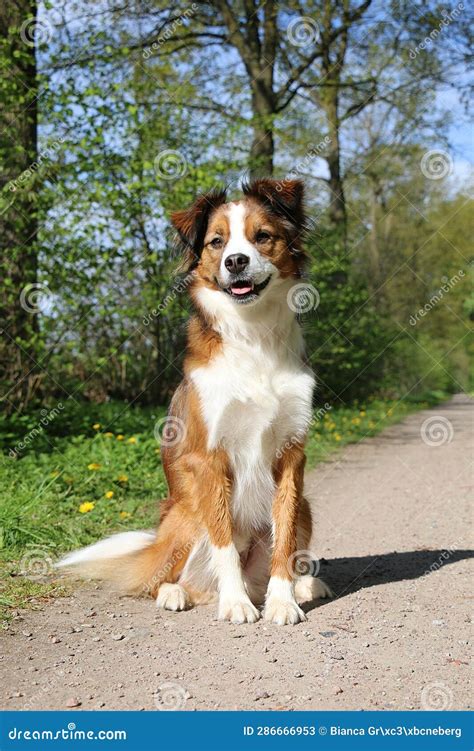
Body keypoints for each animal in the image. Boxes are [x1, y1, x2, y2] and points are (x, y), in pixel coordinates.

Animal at [57, 179, 332, 624]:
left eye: (262, 236)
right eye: (216, 242)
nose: (236, 262)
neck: (252, 337)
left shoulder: (291, 455)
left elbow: (285, 539)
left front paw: (282, 601)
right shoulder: (209, 458)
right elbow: (223, 543)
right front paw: (235, 603)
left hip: (306, 504)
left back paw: (303, 584)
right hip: (184, 517)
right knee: (164, 580)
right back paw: (179, 593)